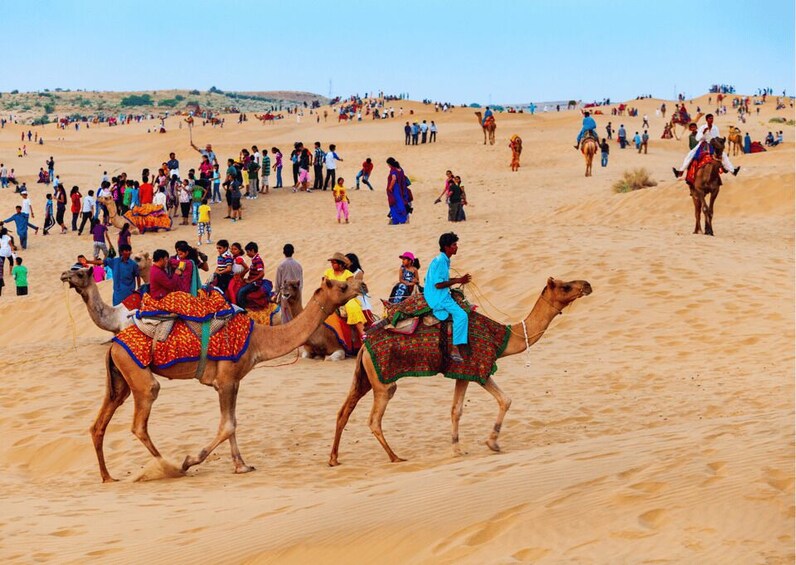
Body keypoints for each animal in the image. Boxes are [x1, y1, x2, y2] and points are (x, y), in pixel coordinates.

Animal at [93, 276, 364, 478]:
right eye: (342, 286)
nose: (361, 285)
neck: (258, 340)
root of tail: (114, 344)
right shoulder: (226, 380)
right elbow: (228, 425)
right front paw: (190, 460)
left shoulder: (232, 382)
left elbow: (232, 423)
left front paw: (241, 465)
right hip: (139, 374)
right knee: (140, 421)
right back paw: (170, 467)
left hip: (120, 378)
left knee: (99, 424)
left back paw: (108, 477)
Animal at [328, 278, 592, 468]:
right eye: (565, 286)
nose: (587, 285)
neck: (502, 337)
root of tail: (363, 345)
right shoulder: (477, 367)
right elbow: (504, 400)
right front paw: (492, 443)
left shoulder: (462, 374)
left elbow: (457, 410)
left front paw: (457, 448)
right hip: (383, 382)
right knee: (374, 419)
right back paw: (395, 457)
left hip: (364, 377)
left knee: (343, 411)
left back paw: (334, 459)